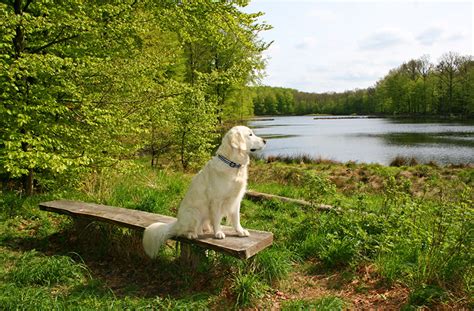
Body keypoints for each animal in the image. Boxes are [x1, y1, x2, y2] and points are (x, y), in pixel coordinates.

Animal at [141, 125, 266, 260]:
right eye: (250, 134)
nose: (265, 141)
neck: (232, 164)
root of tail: (177, 222)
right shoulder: (216, 200)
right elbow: (216, 219)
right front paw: (218, 232)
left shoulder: (236, 199)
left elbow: (236, 218)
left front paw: (240, 231)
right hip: (194, 213)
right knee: (184, 231)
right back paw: (192, 234)